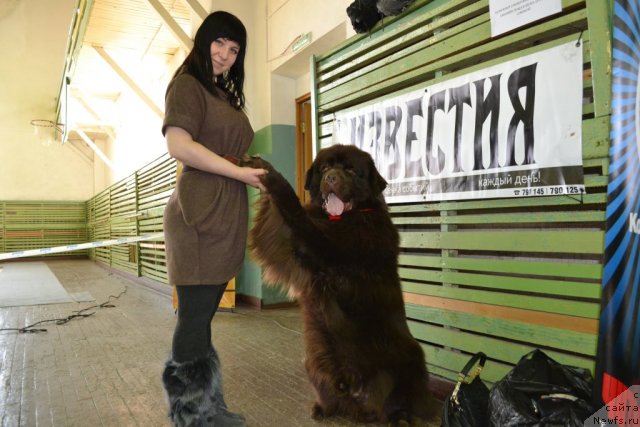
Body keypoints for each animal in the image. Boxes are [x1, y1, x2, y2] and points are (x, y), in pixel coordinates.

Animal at [248, 145, 432, 426]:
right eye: (324, 168)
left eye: (351, 170)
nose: (331, 178)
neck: (345, 218)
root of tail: (356, 394)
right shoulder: (290, 249)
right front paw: (257, 167)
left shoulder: (327, 249)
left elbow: (295, 210)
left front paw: (272, 175)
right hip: (314, 360)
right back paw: (324, 408)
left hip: (410, 358)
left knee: (404, 401)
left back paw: (399, 417)